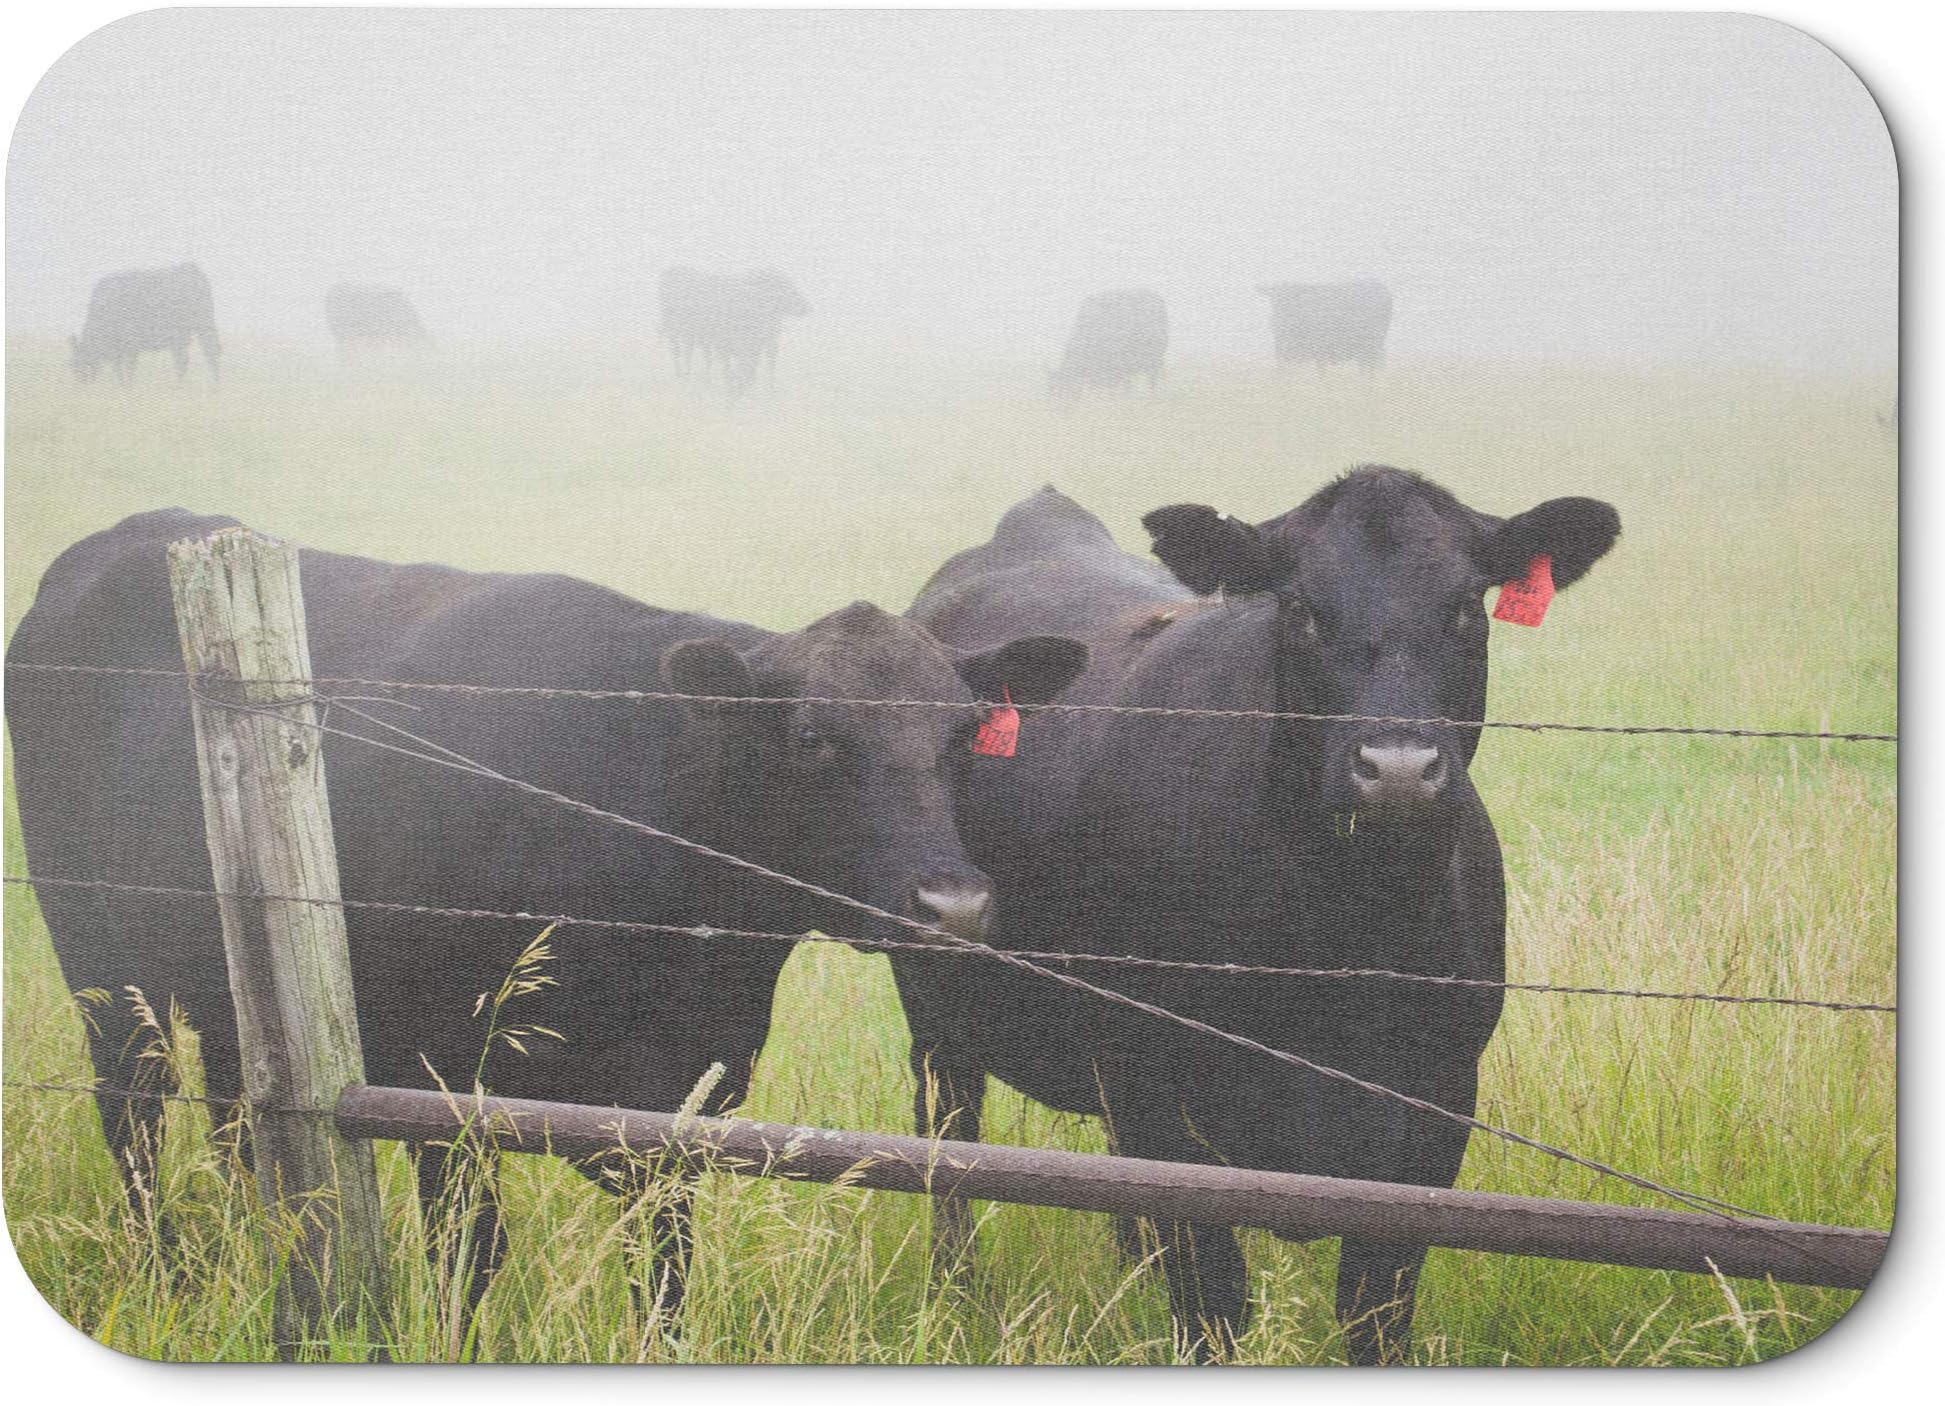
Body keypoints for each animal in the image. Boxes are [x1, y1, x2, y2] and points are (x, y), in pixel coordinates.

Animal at [6, 508, 1087, 1328]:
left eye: (962, 735)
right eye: (813, 735)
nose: (951, 903)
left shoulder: (677, 1111)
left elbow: (664, 1280)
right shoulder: (439, 1090)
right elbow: (471, 1263)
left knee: (238, 1123)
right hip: (104, 973)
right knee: (134, 1114)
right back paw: (172, 1277)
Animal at [70, 263, 221, 385]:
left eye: (81, 361)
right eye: (73, 366)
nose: (80, 385)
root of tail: (192, 270)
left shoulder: (129, 345)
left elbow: (126, 367)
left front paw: (126, 385)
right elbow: (121, 366)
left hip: (184, 334)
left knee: (189, 358)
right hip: (201, 327)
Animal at [899, 472, 1619, 1361]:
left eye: (1463, 606)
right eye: (1301, 608)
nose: (1397, 768)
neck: (1341, 936)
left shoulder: (1439, 1102)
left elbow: (1376, 1307)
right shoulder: (1154, 1095)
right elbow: (1210, 1298)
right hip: (936, 1006)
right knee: (947, 1142)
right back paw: (954, 1295)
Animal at [1257, 278, 1392, 372]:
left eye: (1296, 297)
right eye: (1274, 298)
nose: (1279, 316)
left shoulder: (1319, 350)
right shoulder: (1283, 353)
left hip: (1371, 346)